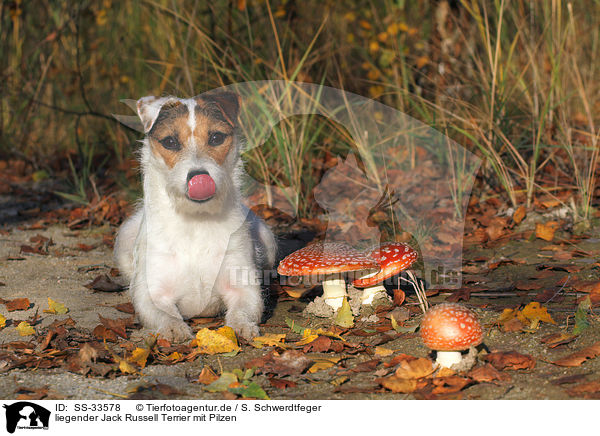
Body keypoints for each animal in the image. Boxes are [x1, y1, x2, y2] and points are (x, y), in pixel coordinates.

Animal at [113, 92, 278, 342]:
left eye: (216, 137)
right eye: (170, 142)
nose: (199, 177)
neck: (195, 221)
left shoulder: (244, 288)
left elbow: (241, 310)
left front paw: (242, 326)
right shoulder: (153, 293)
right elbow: (164, 314)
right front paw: (174, 328)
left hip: (268, 240)